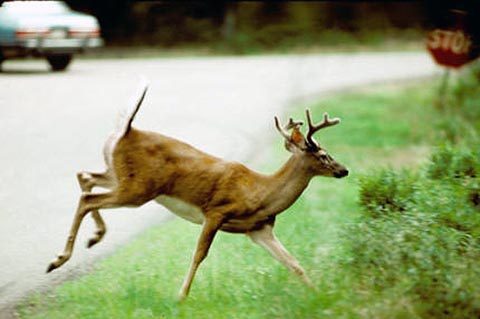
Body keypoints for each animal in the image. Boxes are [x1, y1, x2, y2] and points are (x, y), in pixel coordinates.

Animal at [46, 82, 348, 300]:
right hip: (137, 190)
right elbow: (199, 254)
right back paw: (60, 258)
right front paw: (181, 296)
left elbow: (293, 263)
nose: (344, 170)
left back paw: (92, 238)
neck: (261, 193)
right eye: (323, 155)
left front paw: (318, 294)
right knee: (88, 197)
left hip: (119, 176)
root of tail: (127, 130)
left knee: (85, 178)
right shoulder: (216, 211)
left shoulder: (258, 228)